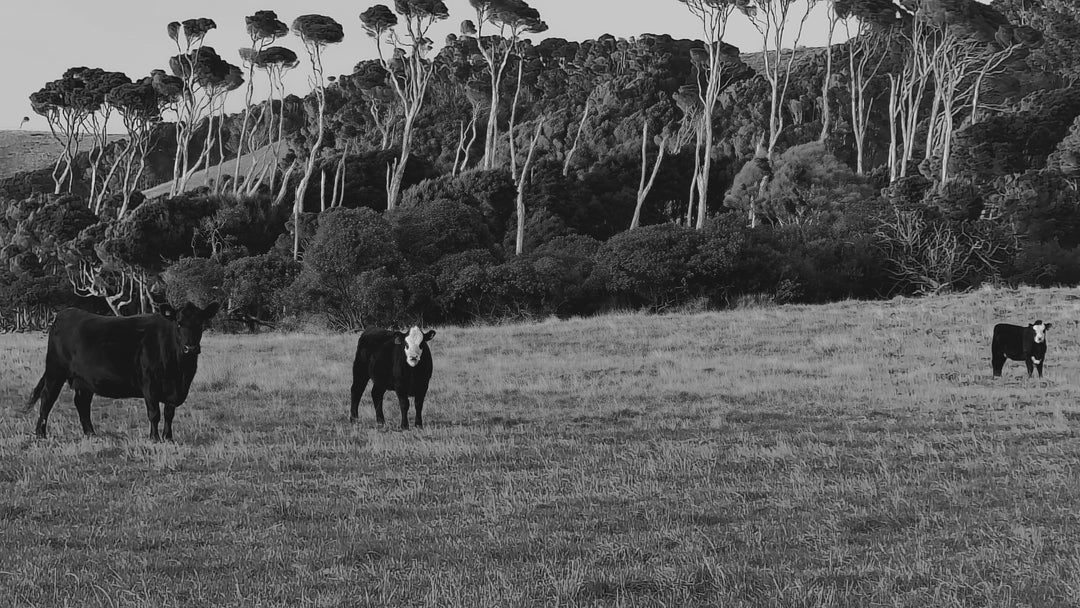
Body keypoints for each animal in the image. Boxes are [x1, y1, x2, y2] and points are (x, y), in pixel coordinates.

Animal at [26, 304, 219, 442]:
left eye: (200, 324)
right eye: (179, 323)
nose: (190, 348)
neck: (180, 372)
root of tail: (65, 313)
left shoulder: (173, 390)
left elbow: (169, 414)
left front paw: (169, 438)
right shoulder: (149, 385)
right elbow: (154, 414)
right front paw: (155, 438)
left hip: (84, 381)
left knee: (82, 403)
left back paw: (91, 434)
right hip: (55, 371)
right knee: (47, 399)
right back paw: (40, 434)